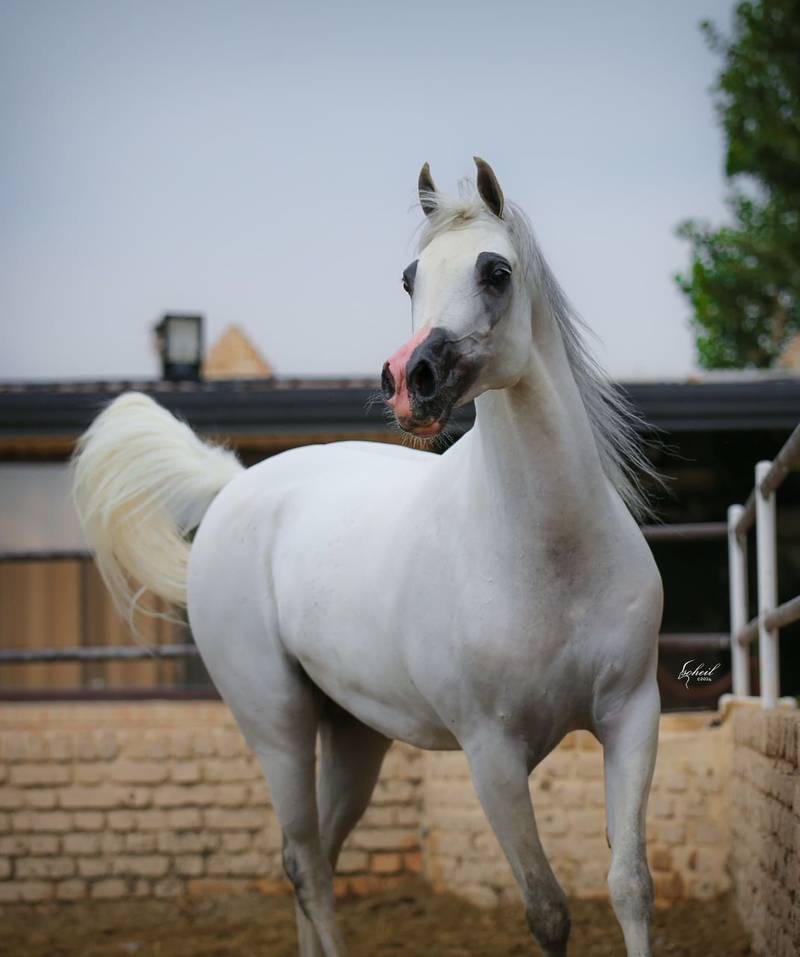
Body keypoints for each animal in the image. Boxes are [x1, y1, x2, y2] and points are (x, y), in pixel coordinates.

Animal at [73, 158, 663, 957]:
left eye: (496, 271)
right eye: (410, 277)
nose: (408, 380)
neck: (549, 555)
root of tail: (234, 487)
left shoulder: (631, 717)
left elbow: (630, 886)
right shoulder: (492, 755)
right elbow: (548, 910)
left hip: (354, 737)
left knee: (316, 856)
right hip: (278, 728)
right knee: (305, 863)